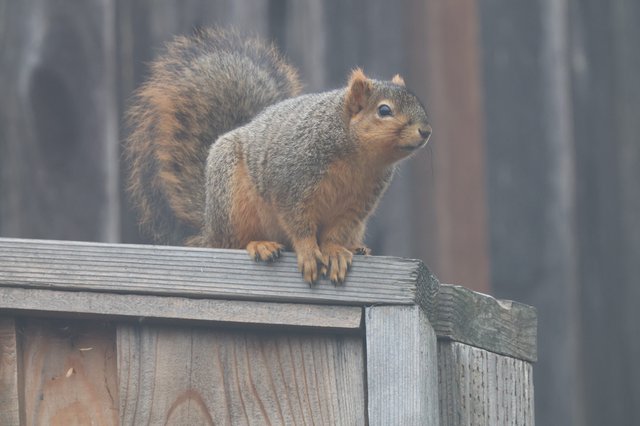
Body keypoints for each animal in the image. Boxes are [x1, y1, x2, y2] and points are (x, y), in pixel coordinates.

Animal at [125, 28, 431, 284]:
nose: (426, 131)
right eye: (384, 110)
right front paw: (308, 251)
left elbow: (336, 231)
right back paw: (259, 245)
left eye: (418, 102)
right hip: (233, 203)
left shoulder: (358, 204)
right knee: (233, 243)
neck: (358, 157)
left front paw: (334, 251)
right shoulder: (292, 179)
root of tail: (209, 228)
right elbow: (298, 222)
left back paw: (356, 247)